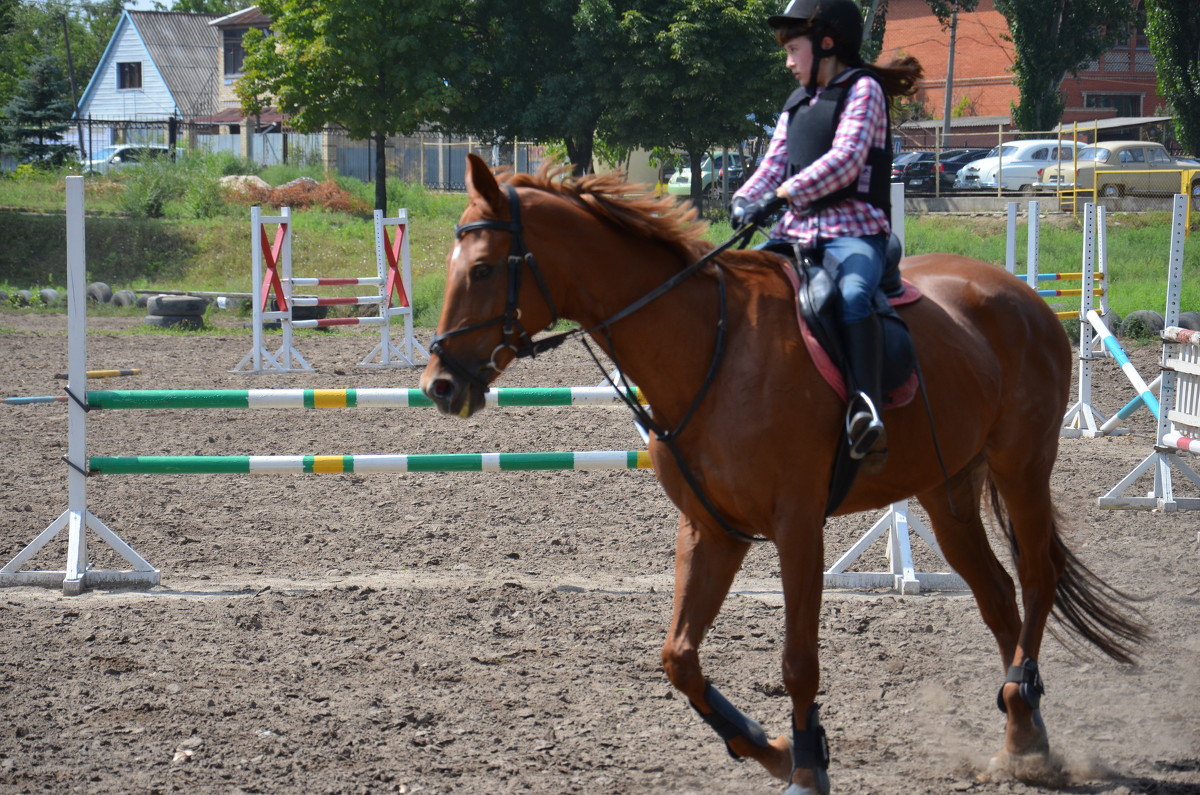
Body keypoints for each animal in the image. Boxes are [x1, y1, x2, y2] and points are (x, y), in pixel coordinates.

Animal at [422, 153, 1142, 792]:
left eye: (482, 268)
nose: (439, 384)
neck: (709, 346)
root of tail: (1024, 297)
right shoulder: (712, 529)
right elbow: (678, 657)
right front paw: (769, 747)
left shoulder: (797, 528)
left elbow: (798, 662)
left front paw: (805, 765)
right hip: (948, 490)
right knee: (997, 594)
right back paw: (1025, 738)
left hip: (1021, 466)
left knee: (1037, 575)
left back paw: (1023, 708)